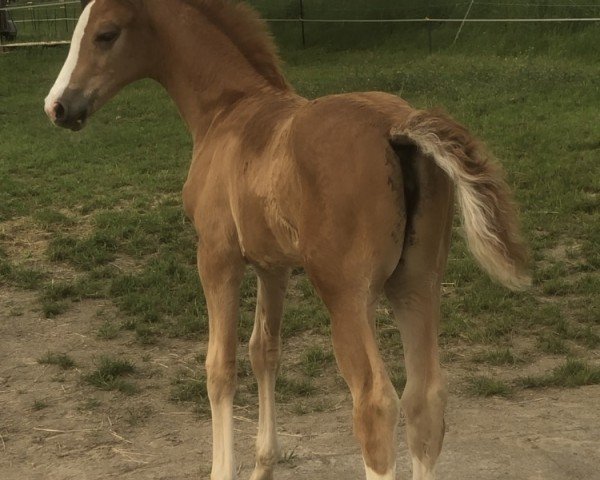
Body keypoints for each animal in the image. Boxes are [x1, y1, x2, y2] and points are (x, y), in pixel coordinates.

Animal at [43, 1, 528, 478]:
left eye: (105, 34)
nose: (58, 106)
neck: (228, 110)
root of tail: (397, 126)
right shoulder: (272, 265)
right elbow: (264, 351)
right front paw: (264, 463)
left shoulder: (217, 256)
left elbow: (220, 366)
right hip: (417, 284)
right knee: (424, 401)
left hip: (346, 294)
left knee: (374, 405)